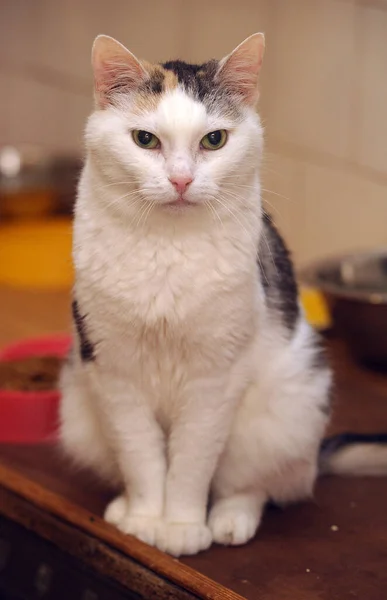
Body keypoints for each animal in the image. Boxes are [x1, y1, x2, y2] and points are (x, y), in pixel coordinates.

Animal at [58, 32, 387, 556]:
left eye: (214, 140)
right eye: (145, 139)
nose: (181, 179)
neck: (168, 249)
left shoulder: (214, 380)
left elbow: (191, 463)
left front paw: (181, 526)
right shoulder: (113, 373)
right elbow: (142, 457)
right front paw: (146, 518)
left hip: (284, 412)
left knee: (253, 486)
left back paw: (230, 521)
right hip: (80, 411)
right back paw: (124, 509)